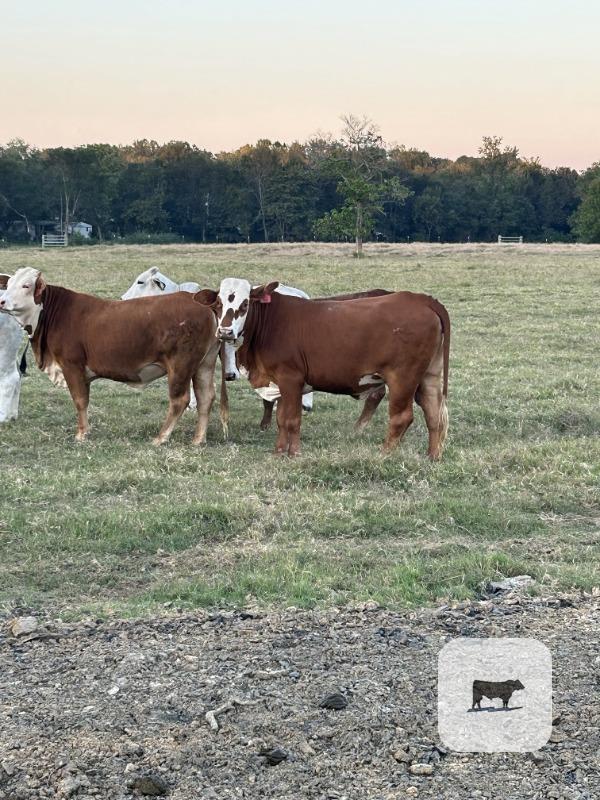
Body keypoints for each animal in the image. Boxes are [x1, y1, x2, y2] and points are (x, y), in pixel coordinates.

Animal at [0, 268, 226, 444]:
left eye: (26, 285)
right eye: (8, 284)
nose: (2, 301)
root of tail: (203, 305)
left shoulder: (72, 365)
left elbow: (80, 400)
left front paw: (82, 434)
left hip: (181, 365)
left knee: (180, 400)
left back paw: (161, 437)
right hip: (204, 364)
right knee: (205, 397)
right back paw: (198, 439)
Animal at [194, 279, 450, 458]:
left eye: (245, 303)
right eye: (218, 304)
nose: (225, 331)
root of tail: (420, 299)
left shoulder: (291, 379)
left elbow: (292, 419)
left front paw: (294, 453)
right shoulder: (280, 383)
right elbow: (281, 419)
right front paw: (279, 452)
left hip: (402, 379)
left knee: (401, 417)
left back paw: (385, 454)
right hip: (428, 377)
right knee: (434, 413)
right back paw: (432, 456)